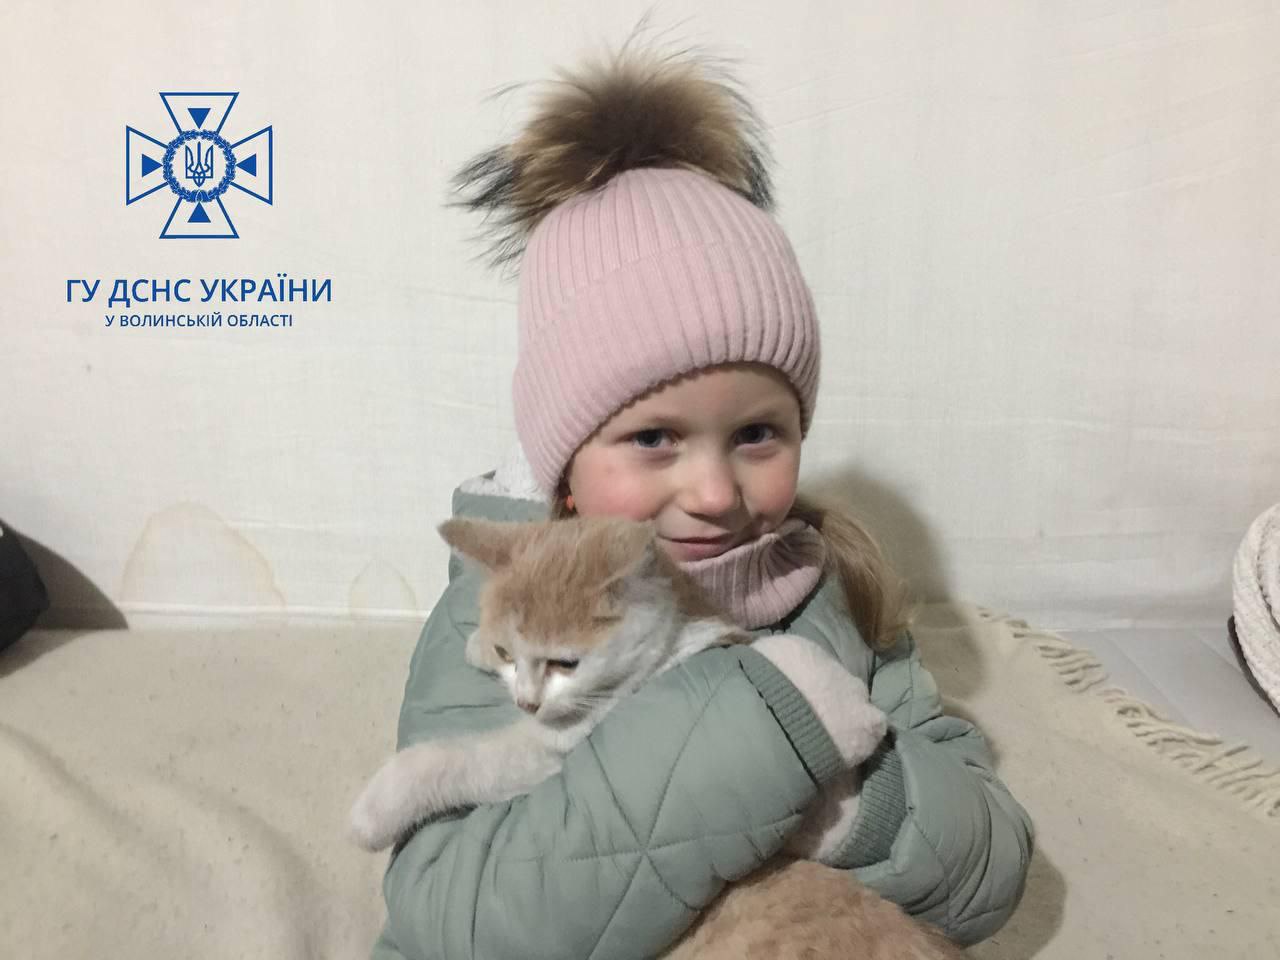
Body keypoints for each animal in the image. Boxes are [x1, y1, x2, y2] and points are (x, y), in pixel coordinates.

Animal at [350, 515, 964, 960]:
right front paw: (477, 645)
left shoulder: (553, 748)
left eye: (565, 663)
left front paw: (375, 811)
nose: (526, 700)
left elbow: (454, 759)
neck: (671, 640)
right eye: (509, 651)